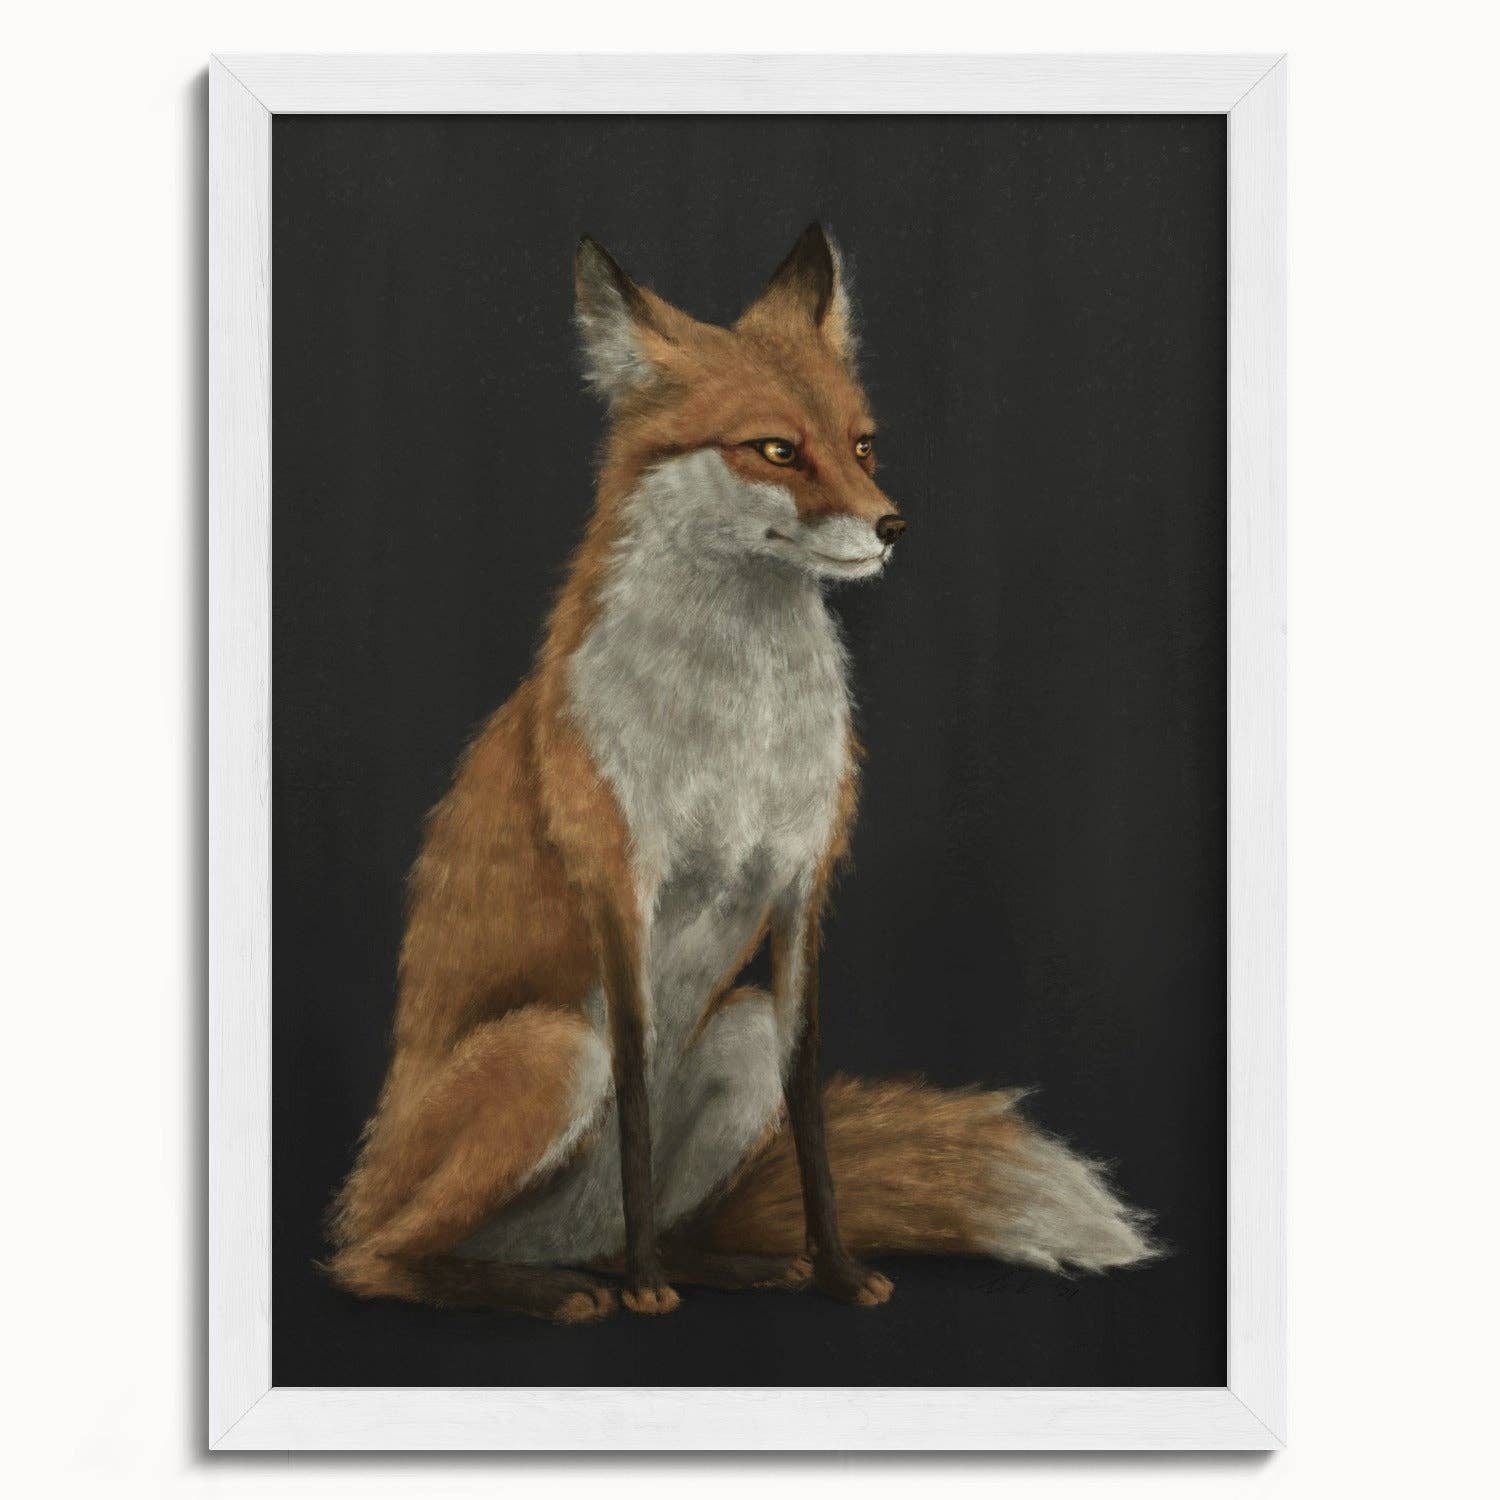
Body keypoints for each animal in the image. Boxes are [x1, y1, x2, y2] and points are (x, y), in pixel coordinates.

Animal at [326, 224, 1155, 1323]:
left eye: (862, 444)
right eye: (775, 449)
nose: (893, 525)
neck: (740, 731)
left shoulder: (803, 885)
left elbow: (810, 1112)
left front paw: (835, 1271)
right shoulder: (621, 886)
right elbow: (636, 1098)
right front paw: (648, 1291)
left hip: (738, 1033)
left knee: (636, 1223)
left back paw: (716, 1265)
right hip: (552, 1051)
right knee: (376, 1260)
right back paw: (563, 1287)